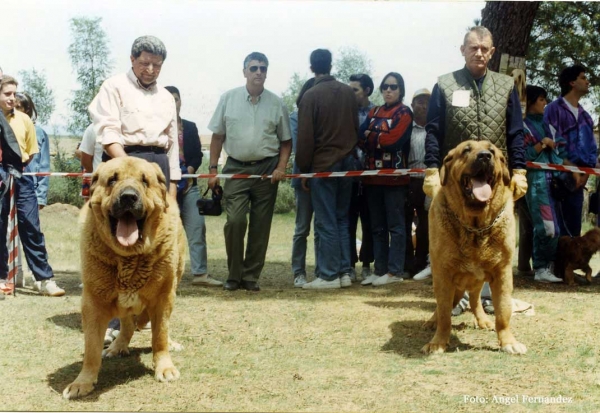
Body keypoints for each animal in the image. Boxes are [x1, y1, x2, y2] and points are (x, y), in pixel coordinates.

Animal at [62, 156, 186, 398]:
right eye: (112, 180)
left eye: (145, 181)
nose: (129, 196)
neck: (130, 258)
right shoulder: (93, 303)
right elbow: (91, 347)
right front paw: (83, 381)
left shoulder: (163, 297)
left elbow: (160, 336)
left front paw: (164, 367)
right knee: (127, 323)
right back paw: (117, 346)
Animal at [422, 139, 524, 354]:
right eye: (466, 150)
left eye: (492, 150)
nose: (485, 156)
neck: (475, 227)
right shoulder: (443, 275)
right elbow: (444, 313)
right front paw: (438, 342)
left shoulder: (502, 273)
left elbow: (503, 311)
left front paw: (508, 342)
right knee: (442, 307)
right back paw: (432, 322)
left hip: (477, 281)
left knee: (475, 299)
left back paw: (484, 320)